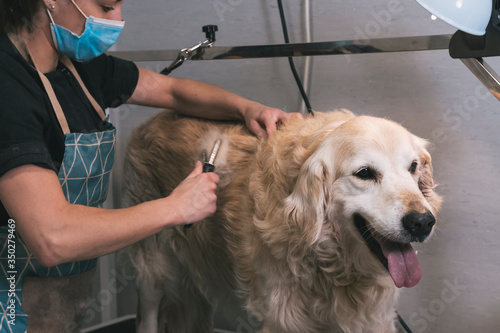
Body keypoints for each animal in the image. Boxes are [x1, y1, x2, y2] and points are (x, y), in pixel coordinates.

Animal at [122, 109, 442, 332]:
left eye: (413, 167)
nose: (422, 222)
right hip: (152, 272)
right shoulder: (283, 321)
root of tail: (150, 120)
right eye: (365, 173)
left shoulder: (374, 320)